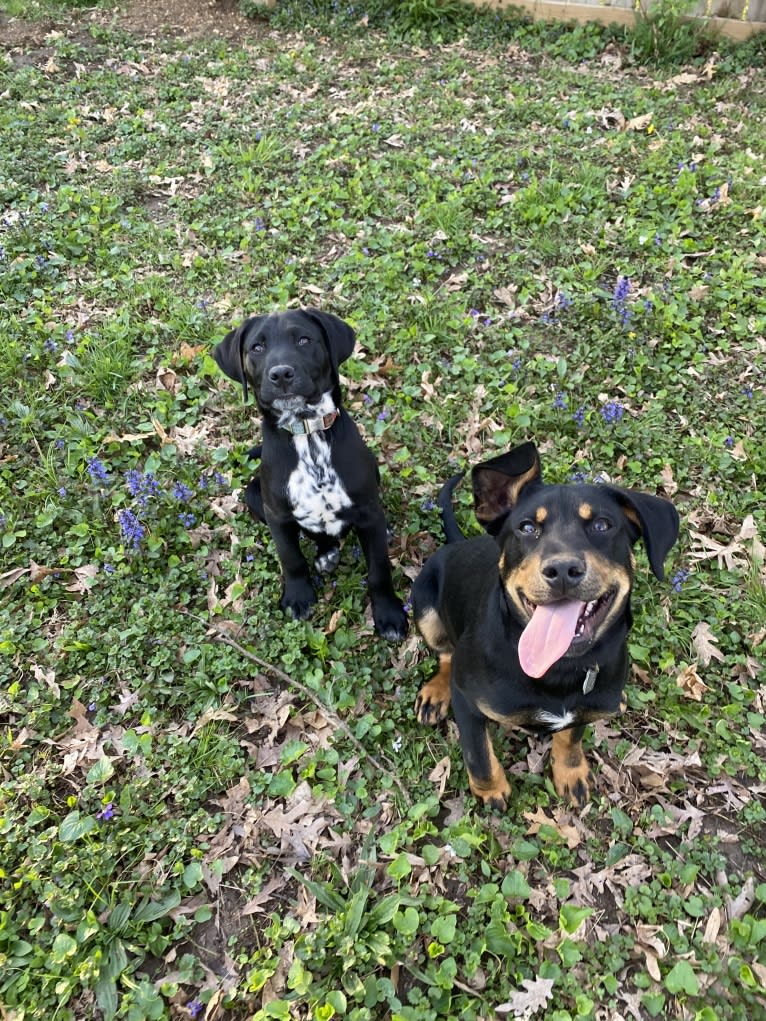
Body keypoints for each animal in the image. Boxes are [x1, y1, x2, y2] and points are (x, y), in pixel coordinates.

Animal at [213, 306, 408, 641]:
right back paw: (326, 553)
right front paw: (298, 597)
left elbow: (379, 569)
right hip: (253, 495)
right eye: (257, 347)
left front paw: (389, 613)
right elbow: (291, 559)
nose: (281, 374)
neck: (308, 433)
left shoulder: (368, 509)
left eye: (304, 340)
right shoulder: (277, 516)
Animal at [416, 443, 682, 808]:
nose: (563, 570)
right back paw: (434, 692)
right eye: (528, 528)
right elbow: (478, 754)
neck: (558, 668)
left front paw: (570, 773)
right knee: (445, 654)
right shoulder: (468, 701)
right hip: (425, 608)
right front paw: (490, 790)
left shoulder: (583, 709)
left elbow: (570, 739)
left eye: (602, 525)